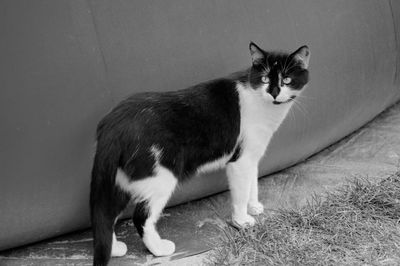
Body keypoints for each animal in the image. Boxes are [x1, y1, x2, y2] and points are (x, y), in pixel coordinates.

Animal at [90, 41, 310, 264]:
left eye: (286, 80)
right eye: (265, 78)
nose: (274, 92)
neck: (261, 102)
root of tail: (112, 125)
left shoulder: (252, 155)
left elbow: (253, 184)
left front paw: (254, 206)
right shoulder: (240, 162)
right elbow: (240, 193)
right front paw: (242, 221)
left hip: (121, 180)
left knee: (107, 214)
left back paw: (115, 248)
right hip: (160, 177)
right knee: (140, 217)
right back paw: (159, 249)